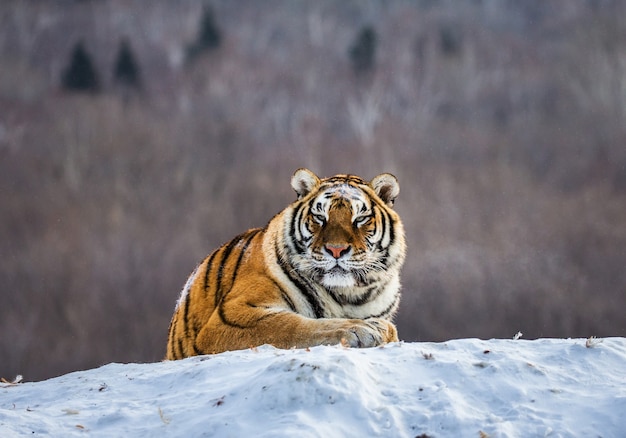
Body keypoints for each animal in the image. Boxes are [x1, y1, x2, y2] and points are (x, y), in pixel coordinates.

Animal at [166, 168, 408, 360]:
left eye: (360, 219)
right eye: (320, 217)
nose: (336, 250)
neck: (350, 295)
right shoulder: (232, 315)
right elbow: (291, 325)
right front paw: (365, 329)